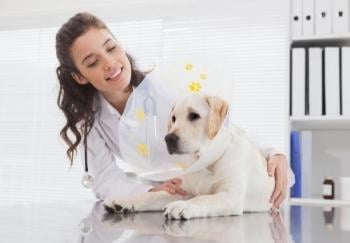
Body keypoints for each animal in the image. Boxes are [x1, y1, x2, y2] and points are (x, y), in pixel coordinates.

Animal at [104, 94, 274, 219]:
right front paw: (123, 201)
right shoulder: (182, 191)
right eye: (173, 118)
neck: (204, 163)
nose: (168, 138)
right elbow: (151, 196)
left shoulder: (230, 196)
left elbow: (203, 198)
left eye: (194, 115)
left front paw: (182, 205)